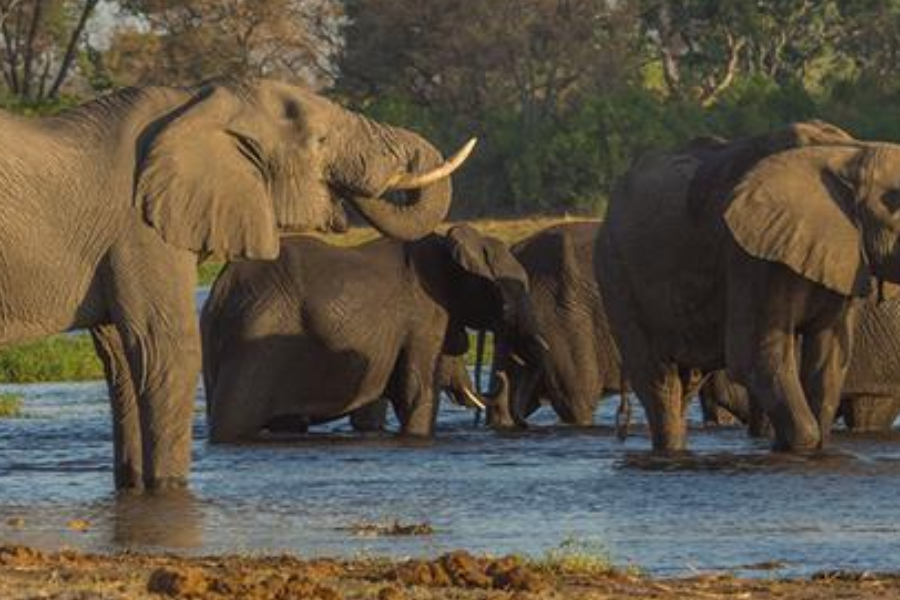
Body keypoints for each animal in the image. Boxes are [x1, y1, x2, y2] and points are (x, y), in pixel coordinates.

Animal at [596, 119, 900, 452]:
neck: (849, 153)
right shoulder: (751, 255)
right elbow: (754, 359)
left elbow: (828, 364)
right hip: (616, 273)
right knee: (658, 381)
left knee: (686, 384)